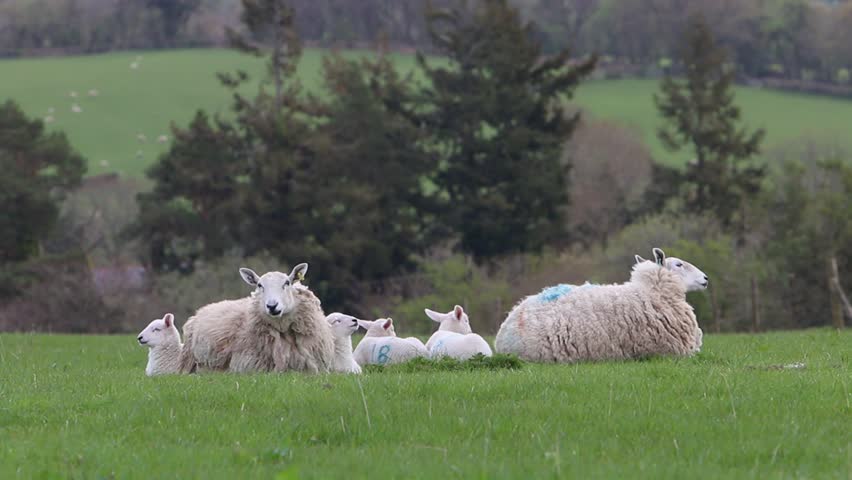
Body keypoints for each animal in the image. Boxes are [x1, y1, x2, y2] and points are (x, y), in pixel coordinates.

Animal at [178, 263, 335, 374]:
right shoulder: (247, 364)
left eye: (287, 283)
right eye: (259, 285)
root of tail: (200, 310)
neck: (282, 328)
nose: (272, 306)